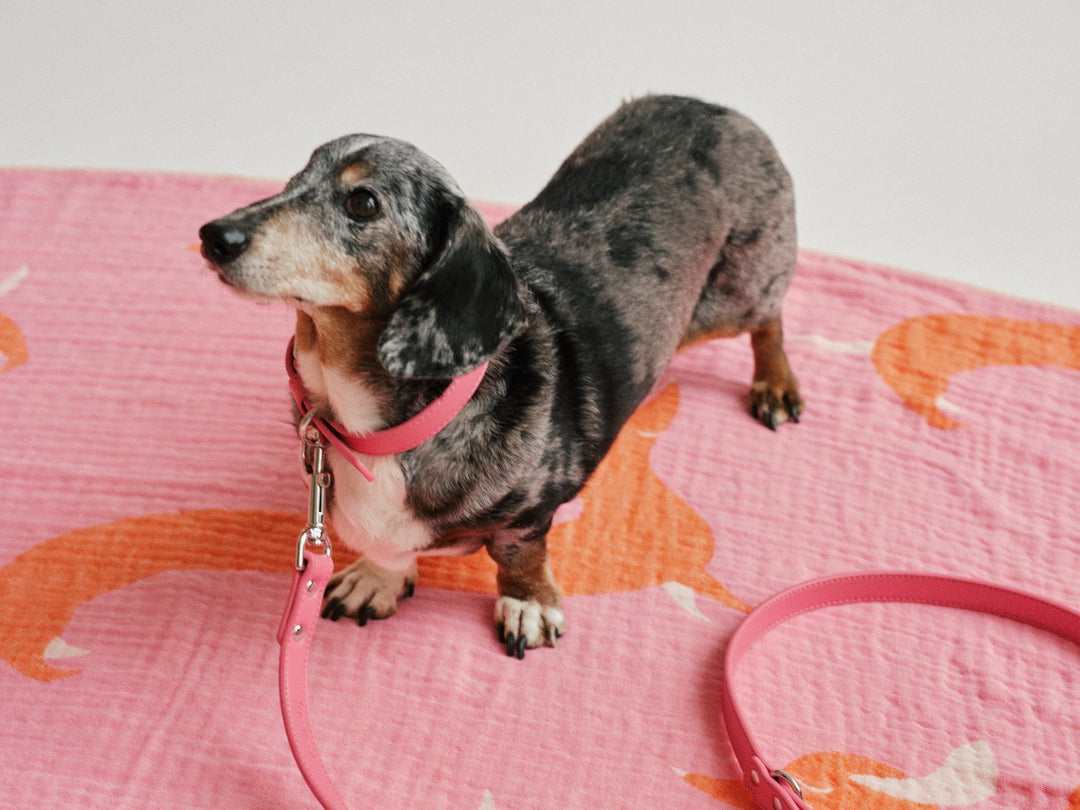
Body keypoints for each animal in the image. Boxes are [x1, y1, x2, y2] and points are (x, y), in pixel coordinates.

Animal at [198, 95, 803, 660]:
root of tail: (712, 107)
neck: (373, 427)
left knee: (771, 318)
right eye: (294, 179)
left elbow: (521, 556)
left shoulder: (530, 514)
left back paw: (775, 385)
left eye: (363, 202)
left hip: (732, 300)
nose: (212, 235)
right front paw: (379, 576)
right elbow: (390, 550)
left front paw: (528, 605)